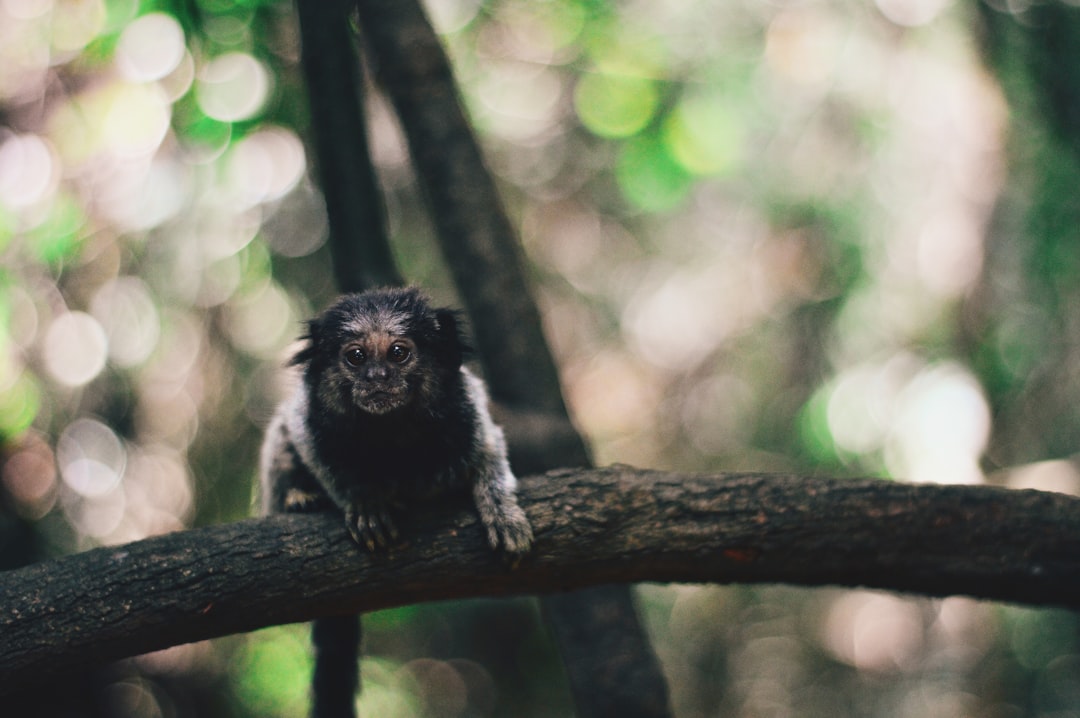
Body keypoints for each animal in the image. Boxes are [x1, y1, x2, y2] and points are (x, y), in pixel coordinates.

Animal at [259, 286, 533, 718]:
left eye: (398, 353)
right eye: (356, 357)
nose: (377, 378)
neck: (390, 430)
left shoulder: (467, 415)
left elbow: (490, 453)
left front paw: (504, 515)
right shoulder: (311, 422)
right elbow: (308, 444)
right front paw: (364, 502)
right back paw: (300, 498)